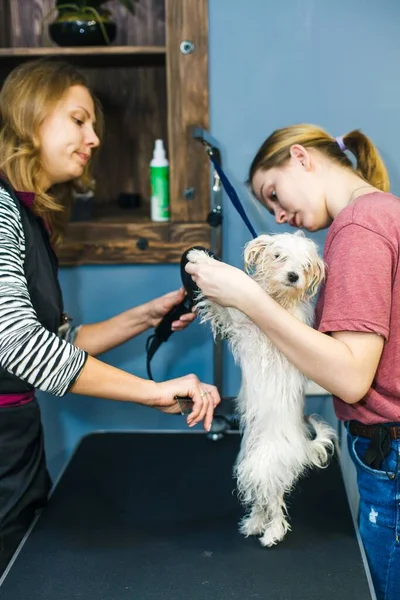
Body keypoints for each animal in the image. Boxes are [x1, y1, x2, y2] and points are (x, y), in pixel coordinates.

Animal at [189, 231, 336, 548]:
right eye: (278, 256)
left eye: (305, 265)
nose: (293, 276)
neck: (278, 302)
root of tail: (301, 447)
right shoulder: (238, 326)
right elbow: (223, 309)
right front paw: (200, 258)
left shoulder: (266, 336)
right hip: (248, 463)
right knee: (262, 498)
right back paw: (255, 523)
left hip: (264, 464)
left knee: (275, 501)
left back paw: (272, 532)